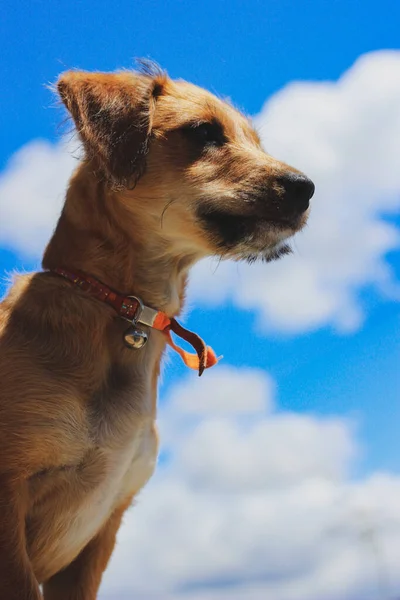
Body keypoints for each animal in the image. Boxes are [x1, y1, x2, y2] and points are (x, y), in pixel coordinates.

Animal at [0, 63, 312, 596]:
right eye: (203, 132)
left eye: (255, 141)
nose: (307, 188)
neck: (122, 308)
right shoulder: (9, 500)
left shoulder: (100, 529)